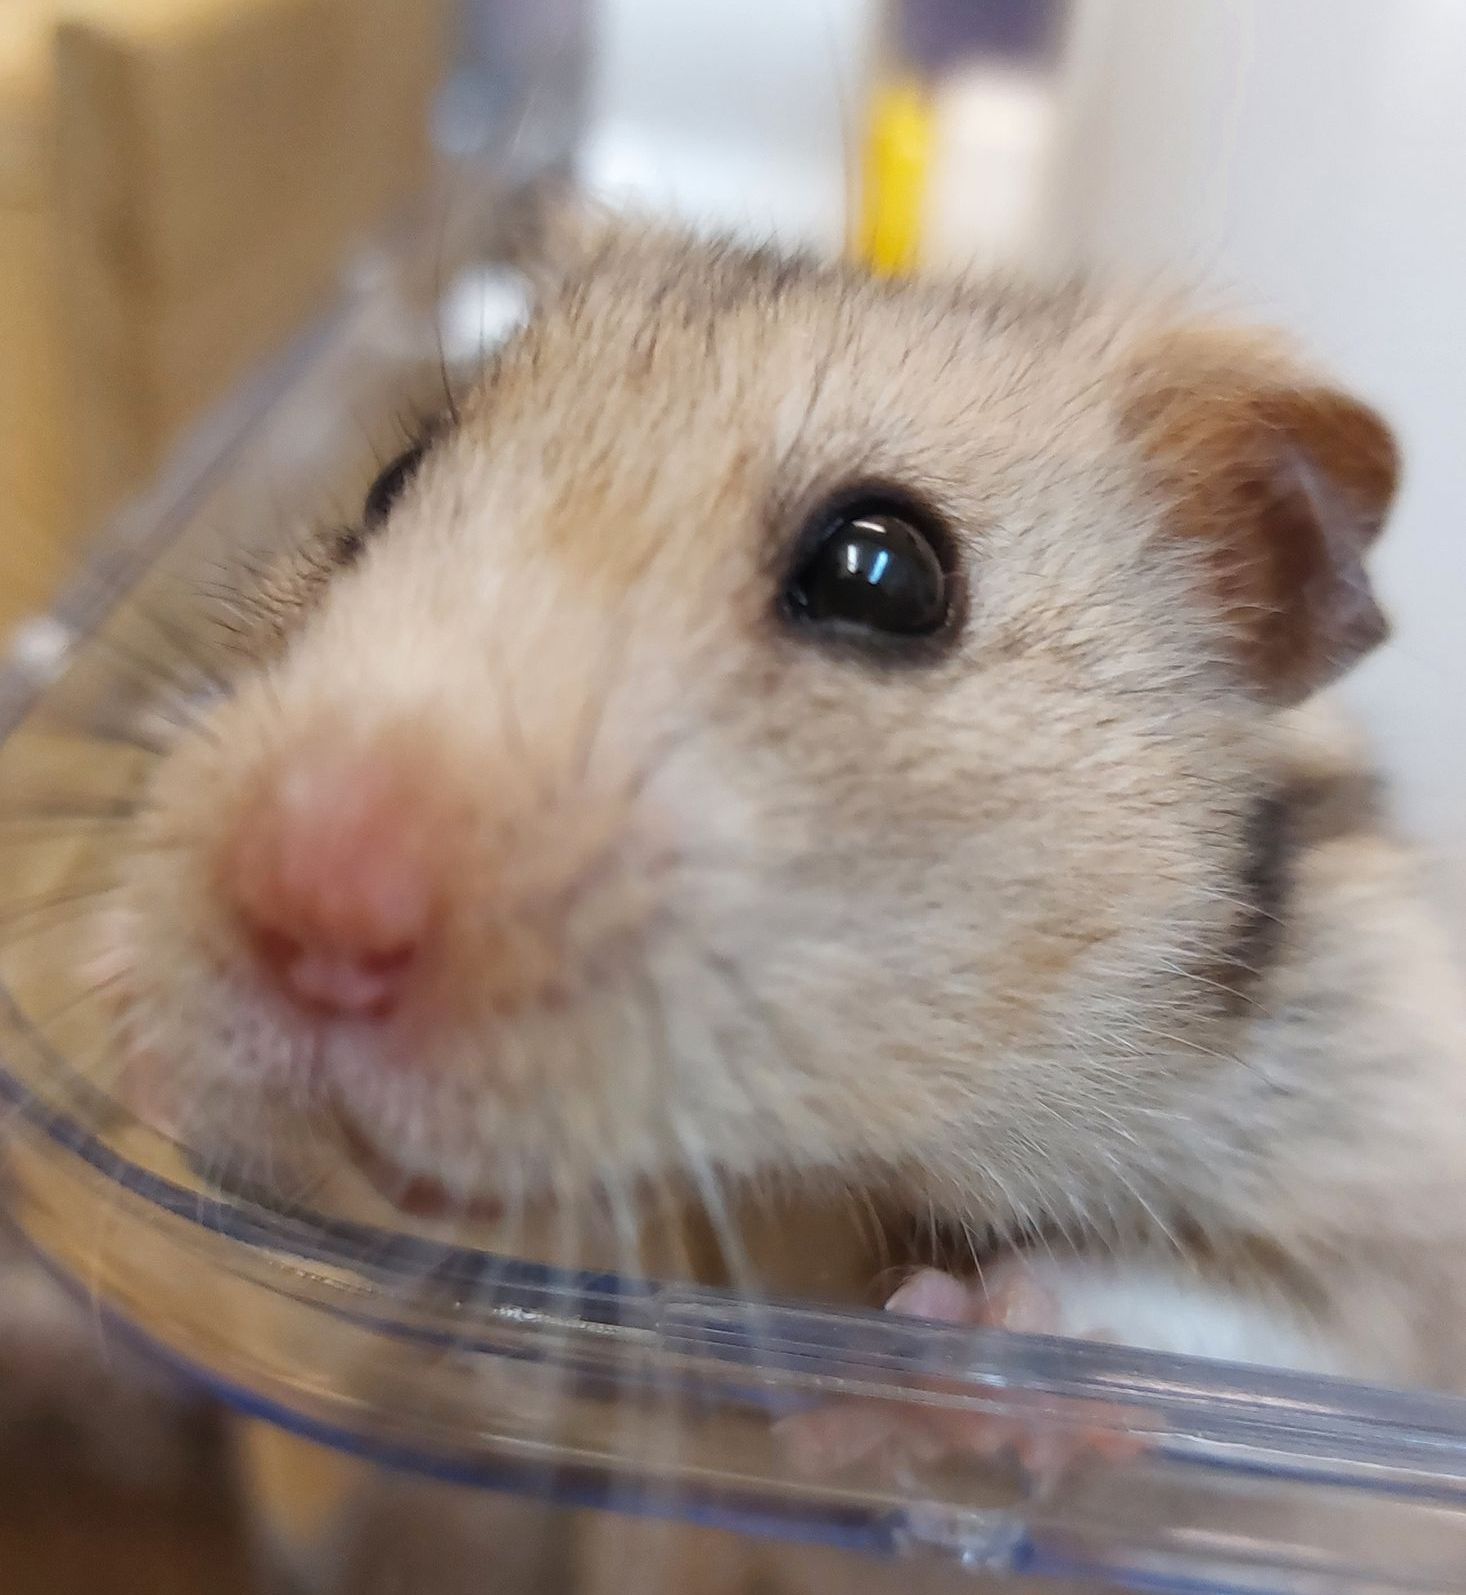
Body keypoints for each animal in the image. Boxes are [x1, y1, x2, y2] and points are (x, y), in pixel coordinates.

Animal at [94, 217, 1466, 1402]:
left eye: (883, 576)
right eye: (387, 485)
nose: (304, 913)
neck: (819, 1177)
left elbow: (1241, 1321)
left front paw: (954, 1350)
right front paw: (142, 1050)